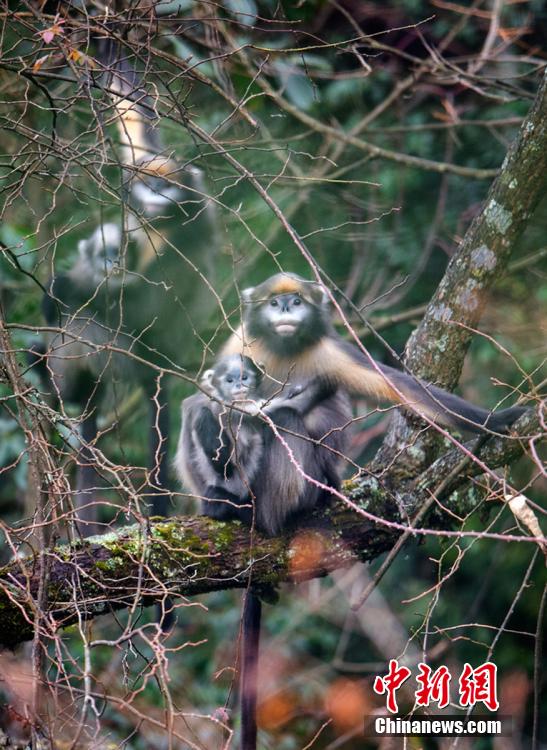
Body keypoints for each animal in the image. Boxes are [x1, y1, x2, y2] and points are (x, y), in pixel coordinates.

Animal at [222, 274, 528, 434]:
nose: (285, 308)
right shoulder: (240, 342)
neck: (285, 348)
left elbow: (404, 387)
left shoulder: (330, 351)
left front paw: (498, 419)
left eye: (297, 301)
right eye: (274, 303)